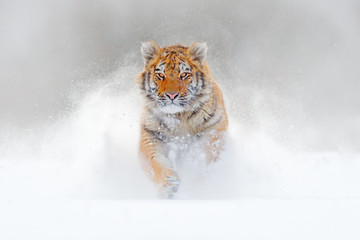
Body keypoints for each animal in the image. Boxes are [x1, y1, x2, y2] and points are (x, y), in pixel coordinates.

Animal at [135, 40, 228, 199]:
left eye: (184, 74)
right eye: (160, 75)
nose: (171, 95)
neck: (179, 117)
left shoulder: (215, 128)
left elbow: (208, 157)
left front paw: (199, 182)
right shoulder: (151, 135)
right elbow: (156, 162)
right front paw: (168, 184)